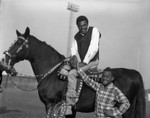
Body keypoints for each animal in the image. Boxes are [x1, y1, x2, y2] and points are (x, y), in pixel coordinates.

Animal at [2, 27, 145, 118]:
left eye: (19, 43)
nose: (4, 60)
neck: (52, 75)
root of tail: (134, 72)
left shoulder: (51, 105)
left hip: (127, 110)